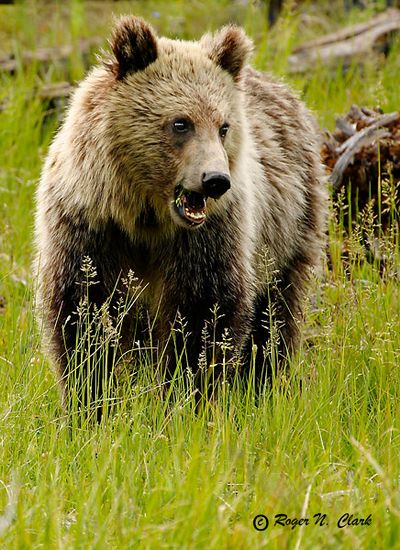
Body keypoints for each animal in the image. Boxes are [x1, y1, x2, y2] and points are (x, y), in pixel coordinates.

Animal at [34, 15, 326, 416]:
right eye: (180, 123)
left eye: (223, 127)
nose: (215, 180)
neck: (144, 215)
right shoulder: (88, 224)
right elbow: (84, 310)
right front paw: (91, 403)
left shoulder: (208, 236)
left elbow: (203, 315)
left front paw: (186, 399)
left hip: (288, 228)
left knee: (275, 314)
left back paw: (262, 383)